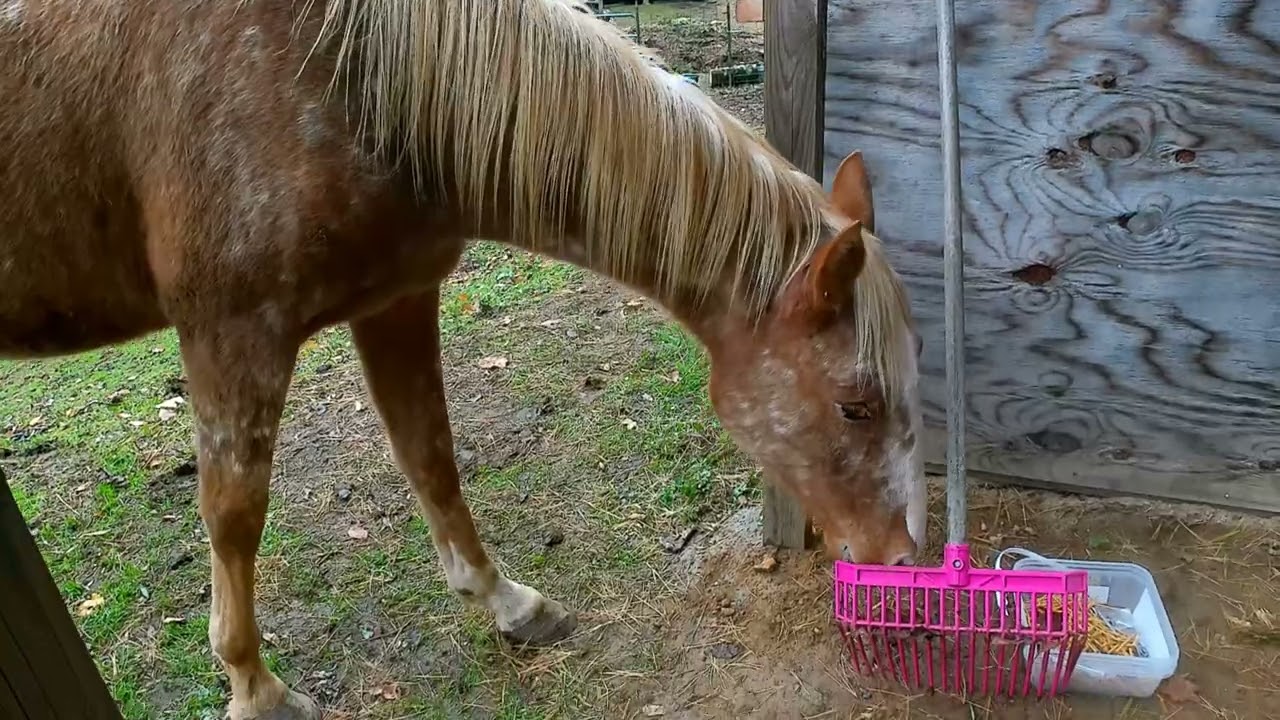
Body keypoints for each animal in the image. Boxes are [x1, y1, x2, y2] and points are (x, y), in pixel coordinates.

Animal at [0, 1, 926, 717]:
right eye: (855, 406)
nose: (904, 568)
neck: (338, 72)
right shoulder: (230, 332)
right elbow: (233, 516)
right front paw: (256, 691)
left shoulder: (396, 300)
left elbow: (432, 458)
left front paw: (509, 603)